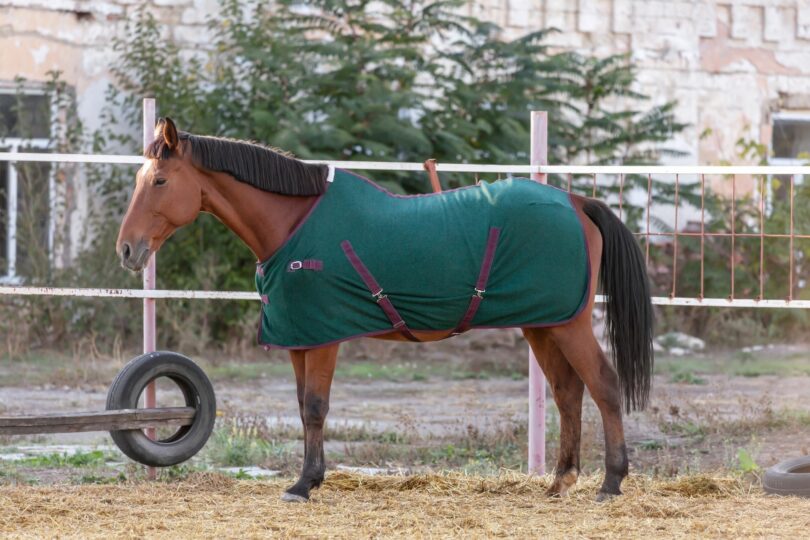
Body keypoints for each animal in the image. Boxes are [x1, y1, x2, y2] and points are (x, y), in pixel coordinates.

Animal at [116, 117, 653, 502]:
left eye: (159, 180)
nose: (127, 250)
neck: (292, 225)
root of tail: (577, 201)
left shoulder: (324, 337)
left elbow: (315, 407)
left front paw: (305, 485)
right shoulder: (299, 337)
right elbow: (302, 407)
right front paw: (306, 479)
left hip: (569, 324)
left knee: (604, 385)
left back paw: (611, 484)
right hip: (543, 324)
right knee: (567, 393)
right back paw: (560, 481)